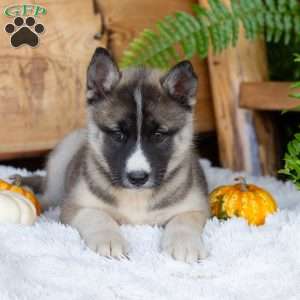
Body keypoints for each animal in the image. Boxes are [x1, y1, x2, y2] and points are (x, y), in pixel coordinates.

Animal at [20, 47, 211, 262]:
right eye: (118, 134)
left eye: (159, 135)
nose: (138, 178)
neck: (137, 198)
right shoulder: (75, 206)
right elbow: (98, 217)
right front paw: (109, 240)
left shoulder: (197, 207)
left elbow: (183, 220)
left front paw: (185, 244)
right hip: (61, 165)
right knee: (46, 194)